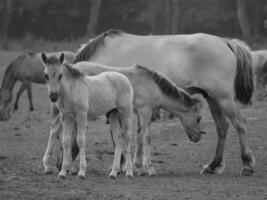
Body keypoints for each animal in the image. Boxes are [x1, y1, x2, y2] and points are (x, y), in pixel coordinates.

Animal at [71, 28, 255, 176]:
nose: (66, 165)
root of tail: (225, 42)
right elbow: (136, 135)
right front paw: (136, 166)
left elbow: (121, 137)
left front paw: (122, 166)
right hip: (212, 98)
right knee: (222, 127)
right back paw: (213, 165)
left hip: (223, 97)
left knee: (240, 124)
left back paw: (246, 164)